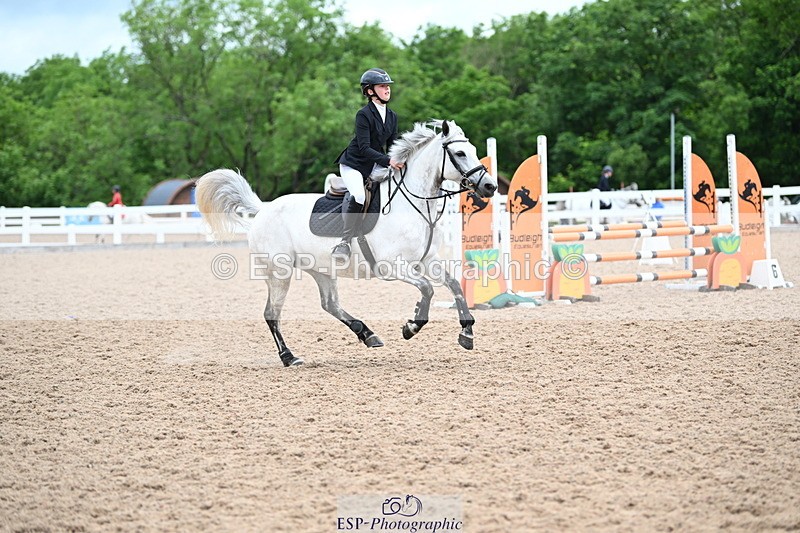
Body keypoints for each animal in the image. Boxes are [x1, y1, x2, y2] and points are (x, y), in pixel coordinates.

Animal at [196, 120, 498, 367]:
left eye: (472, 149)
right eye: (460, 153)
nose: (490, 187)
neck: (412, 204)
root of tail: (263, 209)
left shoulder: (426, 261)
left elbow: (454, 284)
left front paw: (467, 333)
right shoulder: (392, 267)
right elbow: (427, 289)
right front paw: (411, 326)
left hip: (321, 270)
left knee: (329, 304)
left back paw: (368, 334)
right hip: (278, 272)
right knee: (272, 313)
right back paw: (289, 357)